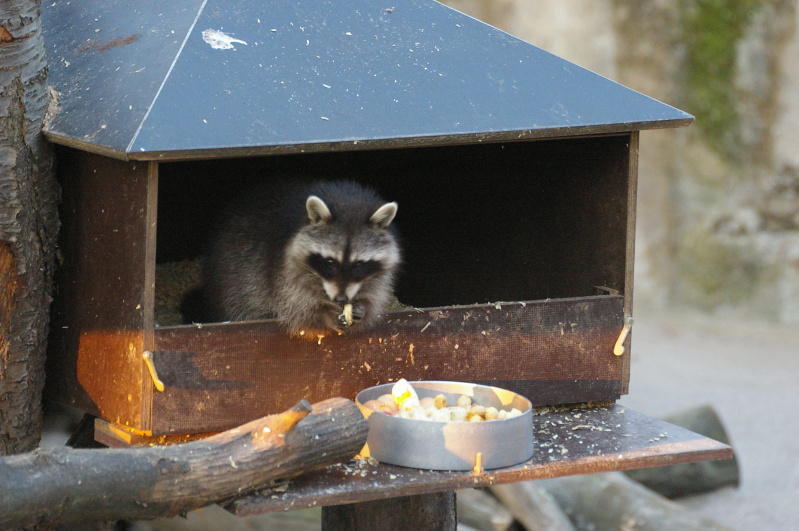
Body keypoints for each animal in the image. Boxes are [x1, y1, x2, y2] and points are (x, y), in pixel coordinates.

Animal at [187, 181, 400, 334]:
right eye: (330, 262)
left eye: (358, 264)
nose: (341, 298)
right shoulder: (281, 266)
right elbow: (295, 305)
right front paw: (323, 313)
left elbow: (375, 293)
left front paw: (364, 307)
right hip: (232, 273)